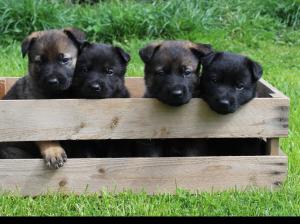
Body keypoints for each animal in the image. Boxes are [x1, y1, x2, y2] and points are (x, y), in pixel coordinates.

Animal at [1, 27, 85, 168]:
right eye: (40, 62)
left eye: (64, 60)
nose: (53, 81)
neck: (56, 95)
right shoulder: (37, 119)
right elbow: (46, 135)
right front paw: (54, 151)